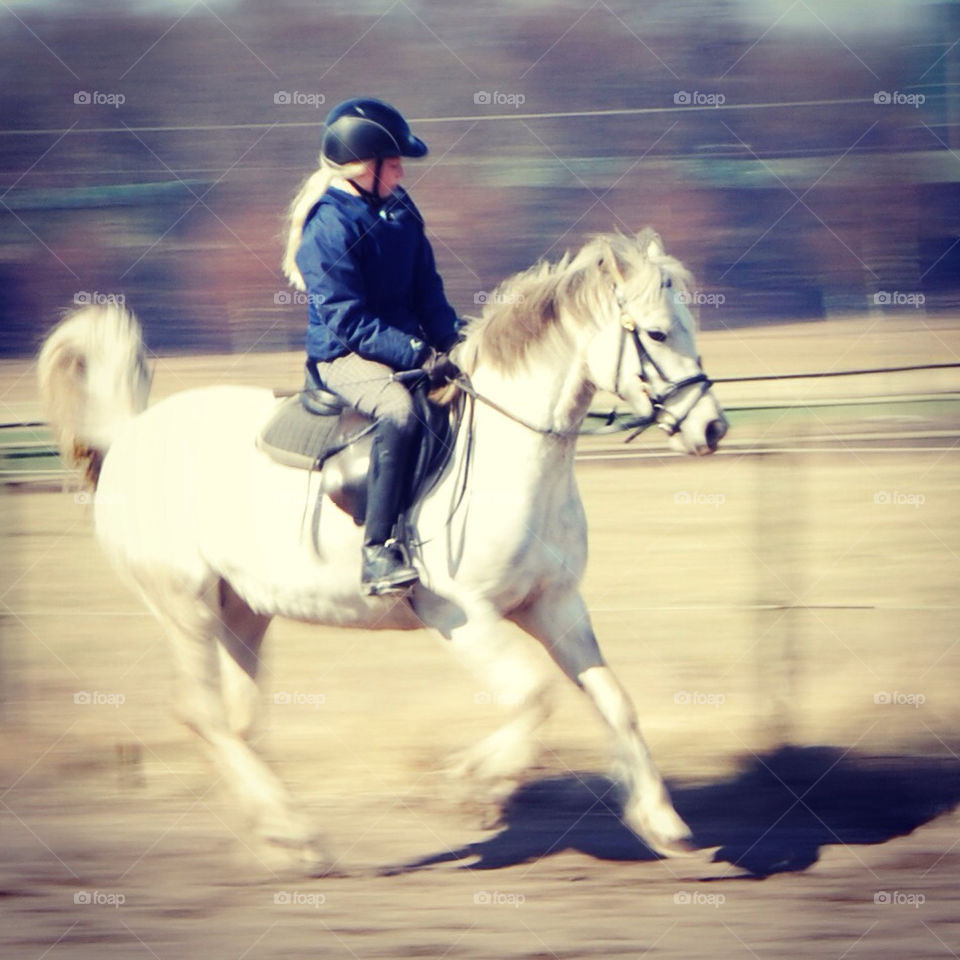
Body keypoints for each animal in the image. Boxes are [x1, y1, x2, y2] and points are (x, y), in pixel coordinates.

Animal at [37, 228, 727, 869]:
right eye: (658, 334)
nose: (712, 427)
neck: (511, 455)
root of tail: (129, 434)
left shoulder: (555, 604)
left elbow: (615, 701)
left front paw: (662, 821)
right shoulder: (463, 618)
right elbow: (535, 697)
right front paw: (470, 788)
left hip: (244, 612)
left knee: (237, 721)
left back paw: (283, 840)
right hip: (186, 606)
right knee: (200, 714)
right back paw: (296, 835)